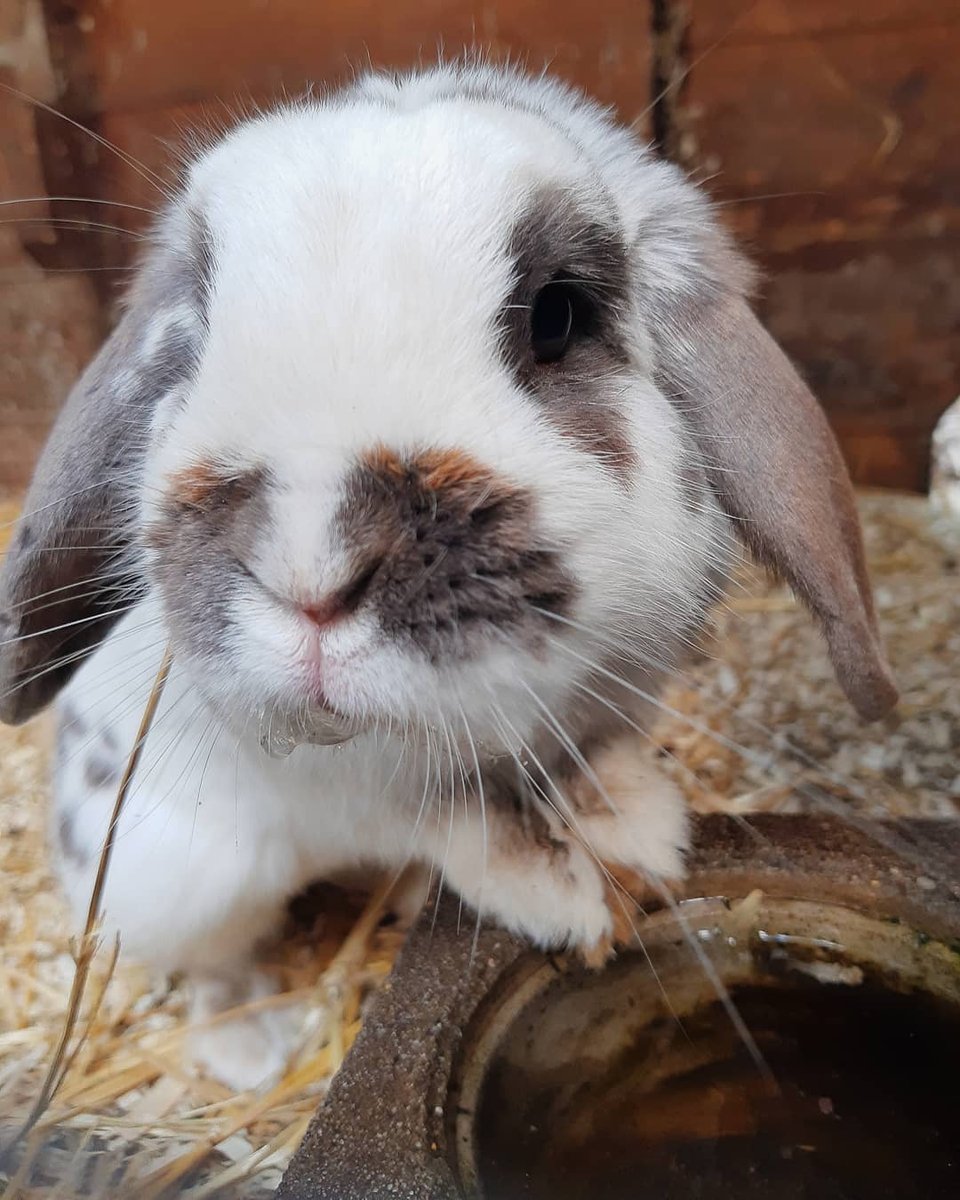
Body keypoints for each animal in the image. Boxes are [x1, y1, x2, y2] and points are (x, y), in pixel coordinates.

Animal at [0, 61, 897, 1090]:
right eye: (194, 335)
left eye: (558, 314)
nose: (308, 567)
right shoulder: (362, 786)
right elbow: (452, 821)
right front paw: (561, 893)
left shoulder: (614, 702)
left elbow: (586, 764)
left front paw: (639, 831)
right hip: (176, 879)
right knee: (213, 964)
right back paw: (253, 1048)